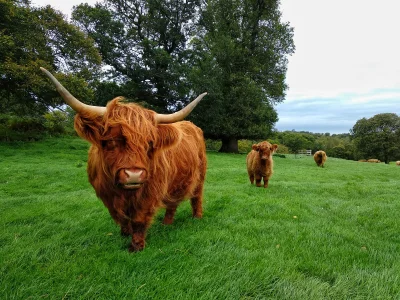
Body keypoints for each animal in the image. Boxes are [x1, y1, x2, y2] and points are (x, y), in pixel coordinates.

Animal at [41, 67, 208, 251]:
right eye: (110, 141)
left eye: (149, 143)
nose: (134, 175)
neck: (124, 192)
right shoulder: (107, 195)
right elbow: (120, 217)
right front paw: (125, 233)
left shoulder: (149, 193)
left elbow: (139, 220)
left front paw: (136, 246)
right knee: (173, 202)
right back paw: (166, 223)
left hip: (200, 177)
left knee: (196, 196)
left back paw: (197, 217)